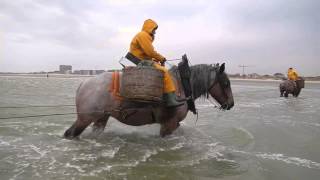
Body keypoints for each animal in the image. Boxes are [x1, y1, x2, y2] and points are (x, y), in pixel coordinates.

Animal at [63, 62, 234, 139]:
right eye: (226, 83)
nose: (231, 104)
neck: (181, 86)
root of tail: (84, 83)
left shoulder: (174, 124)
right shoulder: (168, 124)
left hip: (101, 118)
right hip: (85, 119)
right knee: (70, 133)